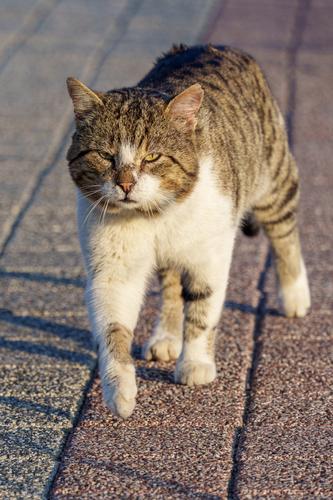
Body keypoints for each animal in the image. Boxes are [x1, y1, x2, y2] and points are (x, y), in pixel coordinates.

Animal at [66, 44, 310, 418]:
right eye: (105, 156)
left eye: (152, 157)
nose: (125, 183)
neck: (153, 216)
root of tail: (213, 46)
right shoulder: (113, 270)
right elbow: (113, 328)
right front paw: (119, 389)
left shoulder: (210, 254)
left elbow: (202, 307)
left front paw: (195, 364)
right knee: (170, 288)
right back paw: (165, 337)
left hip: (274, 182)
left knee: (284, 233)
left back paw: (295, 295)